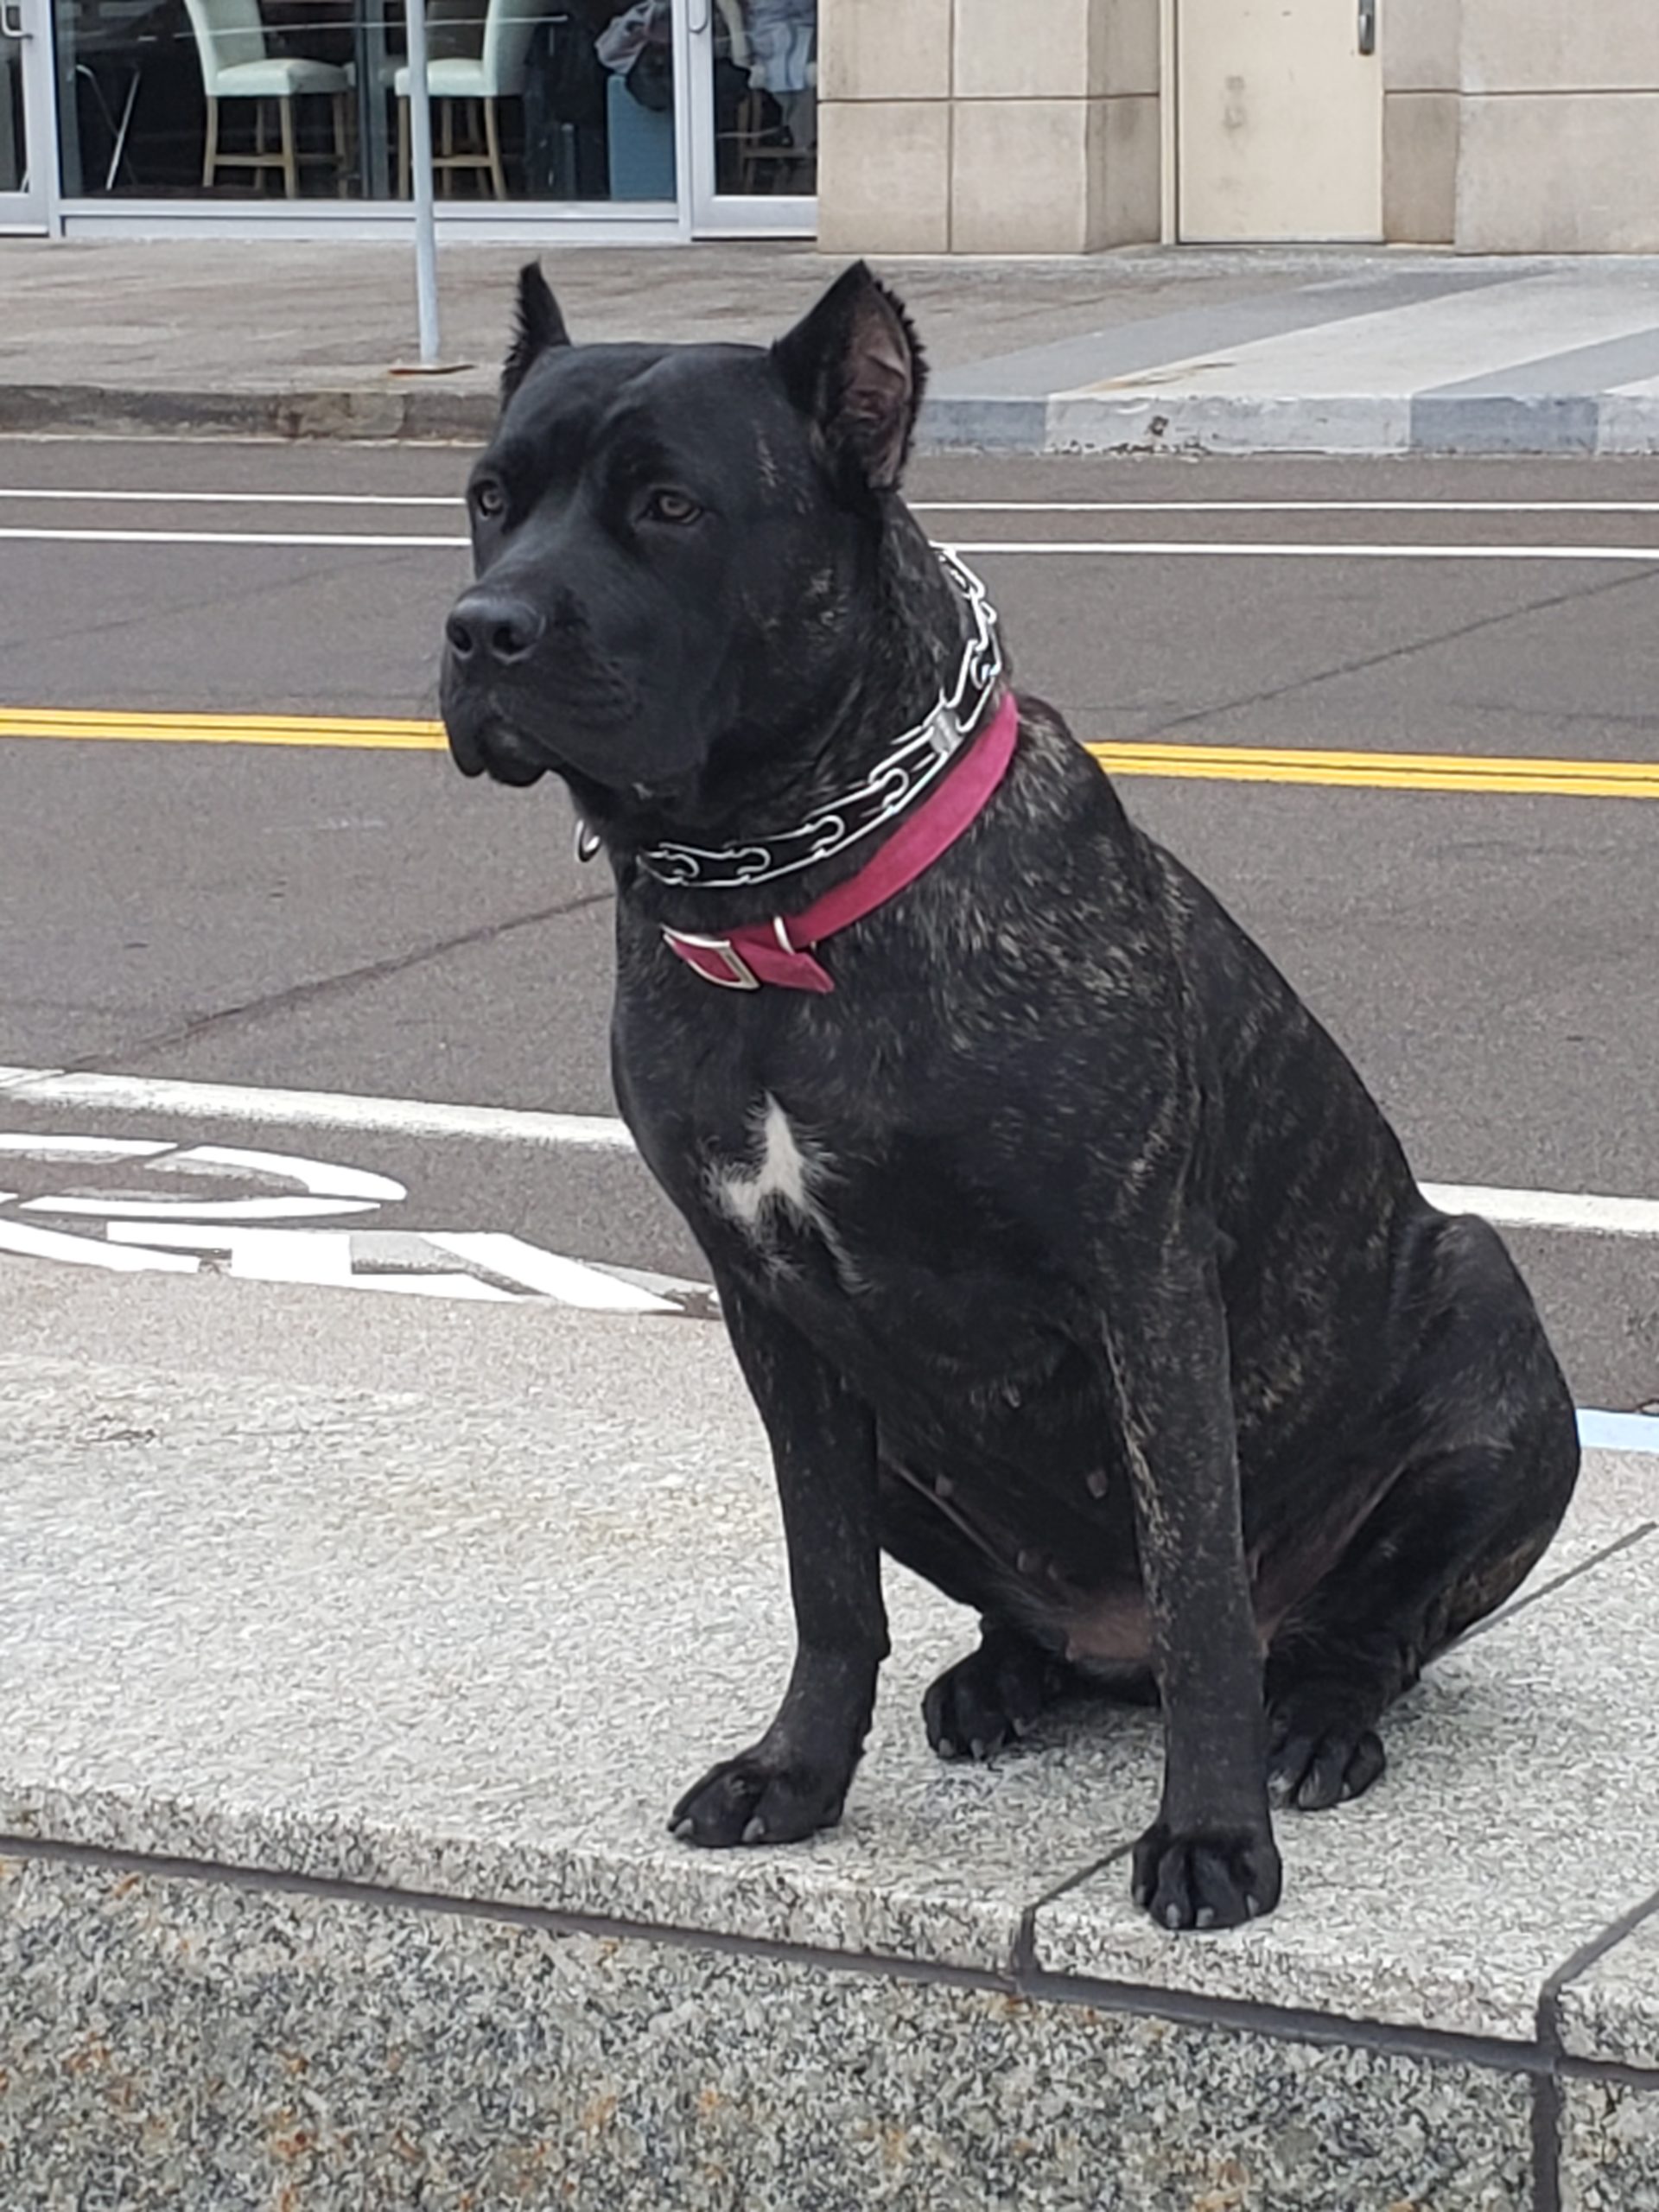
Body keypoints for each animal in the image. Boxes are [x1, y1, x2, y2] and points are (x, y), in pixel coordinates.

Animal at [442, 254, 1583, 1920]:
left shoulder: (1144, 1283)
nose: (485, 627)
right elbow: (827, 1583)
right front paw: (797, 1775)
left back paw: (1316, 1717)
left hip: (1488, 1332)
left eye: (669, 505)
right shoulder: (767, 1308)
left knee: (1353, 1629)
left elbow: (1198, 1589)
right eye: (488, 496)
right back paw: (999, 1678)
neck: (785, 895)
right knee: (1022, 1620)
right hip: (911, 1451)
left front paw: (1213, 1833)